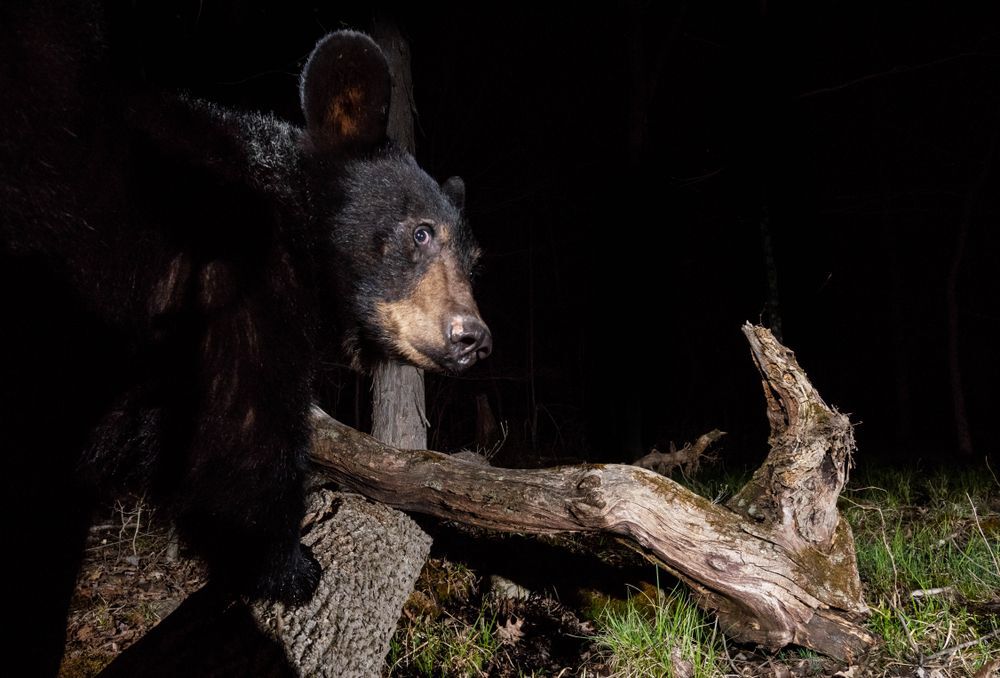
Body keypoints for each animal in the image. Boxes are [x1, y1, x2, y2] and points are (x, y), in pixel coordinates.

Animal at [0, 4, 491, 673]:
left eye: (473, 259)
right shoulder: (236, 292)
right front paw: (291, 567)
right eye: (420, 233)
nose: (474, 338)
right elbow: (245, 428)